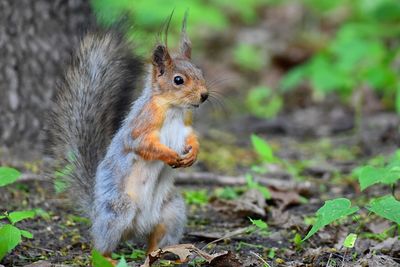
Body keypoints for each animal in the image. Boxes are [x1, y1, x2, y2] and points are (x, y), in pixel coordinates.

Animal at [49, 13, 208, 260]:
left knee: (155, 238)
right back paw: (109, 258)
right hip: (119, 211)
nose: (204, 95)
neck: (173, 108)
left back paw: (159, 252)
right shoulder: (140, 126)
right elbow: (142, 145)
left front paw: (193, 154)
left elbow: (192, 139)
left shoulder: (186, 126)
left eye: (200, 72)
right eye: (178, 80)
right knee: (100, 246)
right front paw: (170, 155)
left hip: (172, 210)